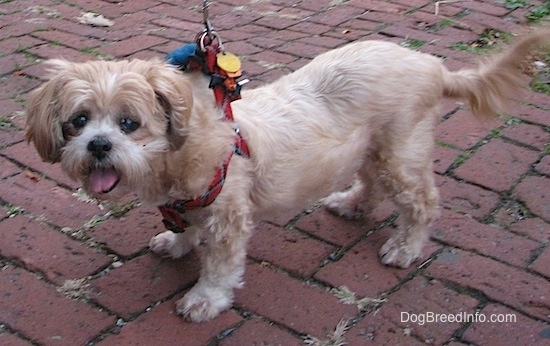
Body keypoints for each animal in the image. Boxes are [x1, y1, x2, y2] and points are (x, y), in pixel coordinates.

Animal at [24, 29, 550, 322]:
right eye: (78, 121)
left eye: (129, 123)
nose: (98, 145)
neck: (182, 153)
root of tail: (433, 66)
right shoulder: (188, 206)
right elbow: (183, 227)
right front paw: (176, 242)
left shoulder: (228, 219)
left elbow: (220, 267)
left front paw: (205, 299)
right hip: (371, 149)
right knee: (372, 185)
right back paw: (352, 204)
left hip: (399, 152)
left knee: (422, 202)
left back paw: (405, 247)